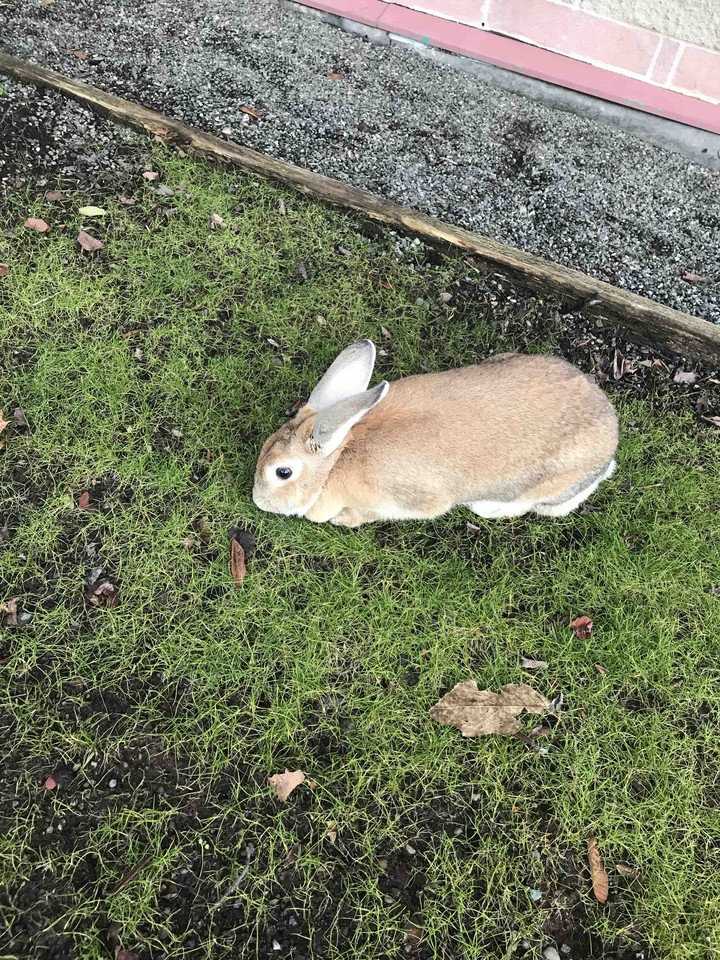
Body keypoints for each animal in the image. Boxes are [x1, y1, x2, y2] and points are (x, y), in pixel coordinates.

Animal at [252, 339, 618, 527]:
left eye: (283, 472)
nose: (258, 501)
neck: (339, 457)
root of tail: (611, 439)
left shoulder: (414, 502)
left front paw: (345, 519)